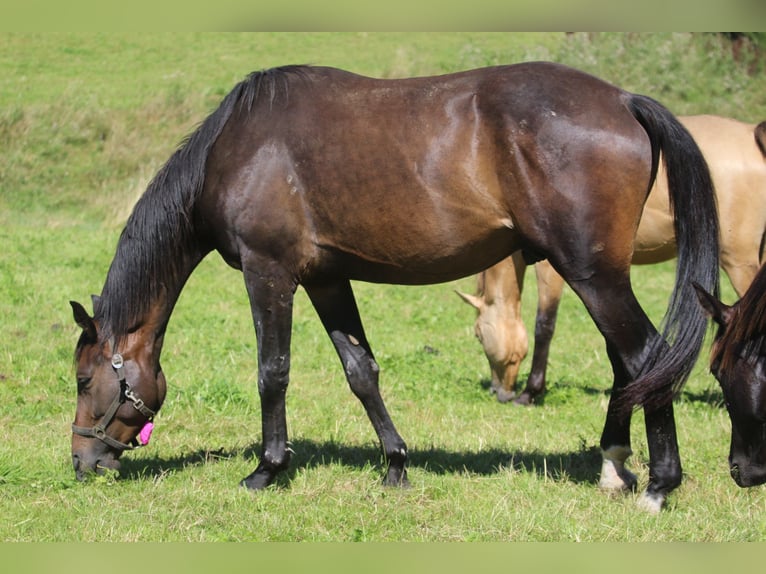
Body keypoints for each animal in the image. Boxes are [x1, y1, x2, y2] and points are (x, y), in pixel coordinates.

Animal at [70, 63, 720, 512]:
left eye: (82, 379)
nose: (81, 461)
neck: (237, 146)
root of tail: (623, 101)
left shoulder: (269, 272)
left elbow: (272, 372)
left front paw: (266, 469)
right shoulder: (328, 277)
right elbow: (361, 371)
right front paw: (396, 465)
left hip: (592, 276)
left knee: (648, 357)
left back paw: (659, 486)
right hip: (600, 277)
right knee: (628, 366)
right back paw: (614, 468)